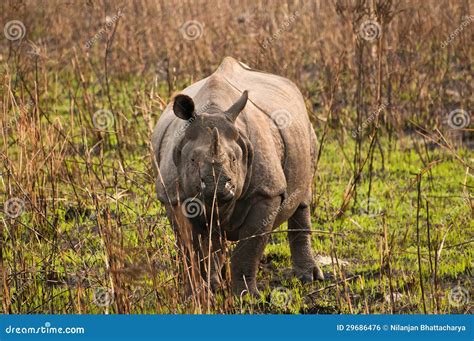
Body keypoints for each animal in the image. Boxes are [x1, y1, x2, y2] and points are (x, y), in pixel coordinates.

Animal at [154, 57, 324, 294]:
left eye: (235, 160)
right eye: (193, 161)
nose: (217, 187)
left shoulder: (267, 192)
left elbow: (248, 249)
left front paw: (246, 296)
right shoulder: (172, 195)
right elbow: (191, 249)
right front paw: (196, 294)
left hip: (307, 130)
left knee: (302, 199)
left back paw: (310, 279)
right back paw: (214, 285)